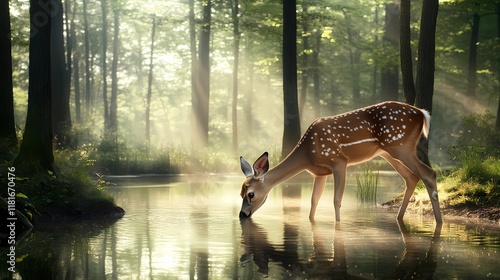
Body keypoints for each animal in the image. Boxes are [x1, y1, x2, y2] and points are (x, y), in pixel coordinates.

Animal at [238, 100, 442, 223]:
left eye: (250, 194)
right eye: (240, 193)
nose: (242, 215)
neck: (307, 154)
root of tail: (422, 114)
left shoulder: (338, 161)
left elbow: (336, 200)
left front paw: (338, 225)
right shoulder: (319, 173)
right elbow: (314, 201)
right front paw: (311, 222)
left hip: (400, 146)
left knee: (428, 173)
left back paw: (438, 222)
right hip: (388, 152)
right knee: (412, 177)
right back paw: (399, 218)